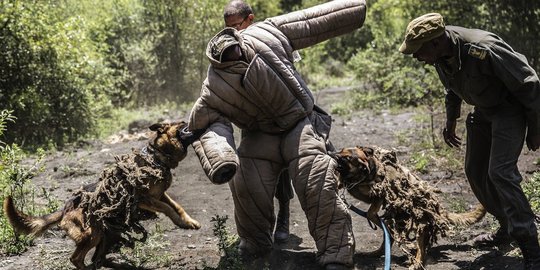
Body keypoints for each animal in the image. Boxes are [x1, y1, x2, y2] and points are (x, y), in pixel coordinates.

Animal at [3, 122, 202, 270]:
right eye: (182, 124)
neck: (157, 157)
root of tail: (66, 207)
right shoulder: (145, 199)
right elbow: (167, 208)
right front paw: (180, 222)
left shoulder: (161, 195)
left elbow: (177, 206)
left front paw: (188, 222)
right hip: (92, 234)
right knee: (76, 258)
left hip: (106, 234)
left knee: (95, 258)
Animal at [330, 147, 486, 268]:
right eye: (341, 150)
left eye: (347, 158)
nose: (332, 154)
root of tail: (439, 210)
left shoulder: (379, 194)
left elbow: (370, 211)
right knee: (389, 236)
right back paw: (376, 251)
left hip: (420, 225)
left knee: (420, 248)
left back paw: (416, 262)